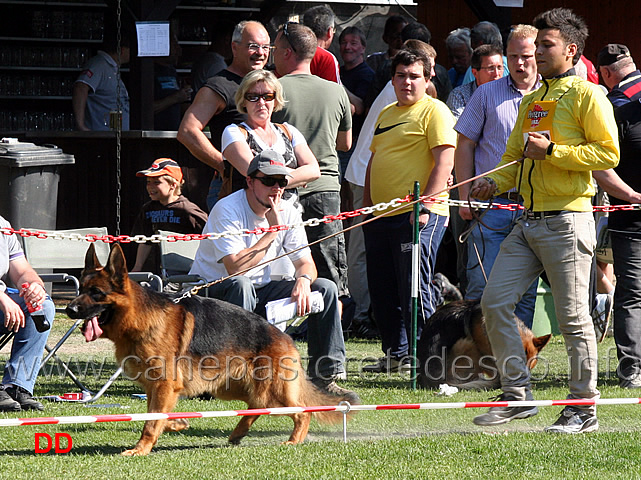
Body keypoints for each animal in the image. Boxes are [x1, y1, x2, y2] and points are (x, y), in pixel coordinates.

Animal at [65, 246, 356, 456]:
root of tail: (285, 337)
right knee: (256, 407)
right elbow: (156, 415)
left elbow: (151, 421)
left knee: (301, 412)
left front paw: (141, 449)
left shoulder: (164, 385)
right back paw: (238, 433)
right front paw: (176, 423)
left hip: (271, 390)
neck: (140, 317)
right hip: (230, 387)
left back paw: (293, 441)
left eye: (97, 292)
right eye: (81, 289)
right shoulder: (156, 387)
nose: (69, 309)